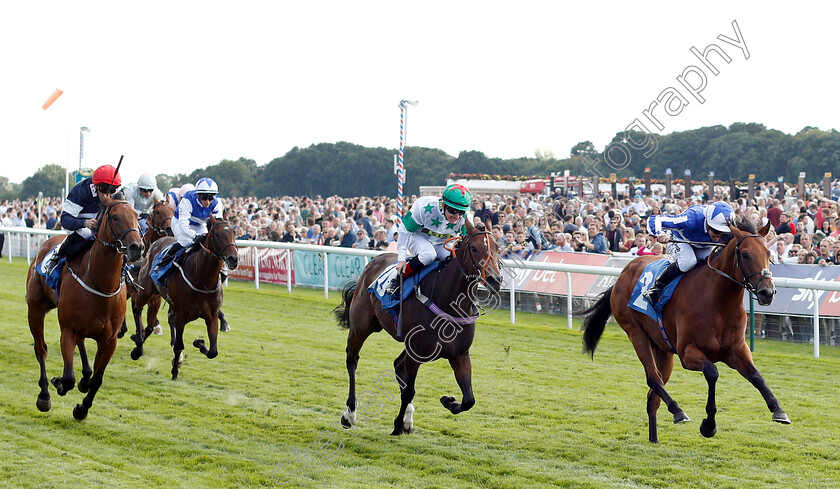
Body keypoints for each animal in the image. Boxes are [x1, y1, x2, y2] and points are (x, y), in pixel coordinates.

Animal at [25, 196, 143, 418]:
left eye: (136, 215)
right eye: (115, 217)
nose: (137, 247)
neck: (101, 284)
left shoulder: (109, 340)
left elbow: (97, 379)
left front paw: (82, 409)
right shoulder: (68, 331)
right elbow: (68, 377)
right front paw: (58, 383)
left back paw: (84, 379)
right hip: (35, 310)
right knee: (40, 349)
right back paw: (44, 394)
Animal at [130, 215, 238, 380]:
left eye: (234, 232)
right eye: (217, 234)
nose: (233, 259)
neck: (202, 279)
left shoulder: (211, 316)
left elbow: (213, 351)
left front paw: (199, 343)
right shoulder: (181, 316)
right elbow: (179, 345)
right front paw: (175, 370)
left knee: (150, 326)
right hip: (146, 291)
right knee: (137, 309)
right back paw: (138, 345)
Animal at [334, 219, 498, 432]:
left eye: (497, 247)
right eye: (474, 248)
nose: (496, 280)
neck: (448, 302)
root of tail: (375, 260)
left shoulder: (460, 354)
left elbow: (469, 399)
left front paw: (448, 401)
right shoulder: (416, 353)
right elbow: (409, 391)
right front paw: (397, 425)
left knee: (397, 365)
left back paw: (407, 417)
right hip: (361, 327)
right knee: (352, 360)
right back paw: (350, 413)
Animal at [584, 218, 788, 442]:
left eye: (768, 254)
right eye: (745, 254)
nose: (767, 292)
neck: (718, 303)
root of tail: (623, 273)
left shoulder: (736, 351)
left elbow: (757, 376)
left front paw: (778, 410)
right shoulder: (687, 352)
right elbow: (712, 372)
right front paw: (708, 425)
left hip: (663, 349)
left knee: (653, 395)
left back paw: (654, 439)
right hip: (636, 334)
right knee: (653, 378)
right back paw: (677, 411)